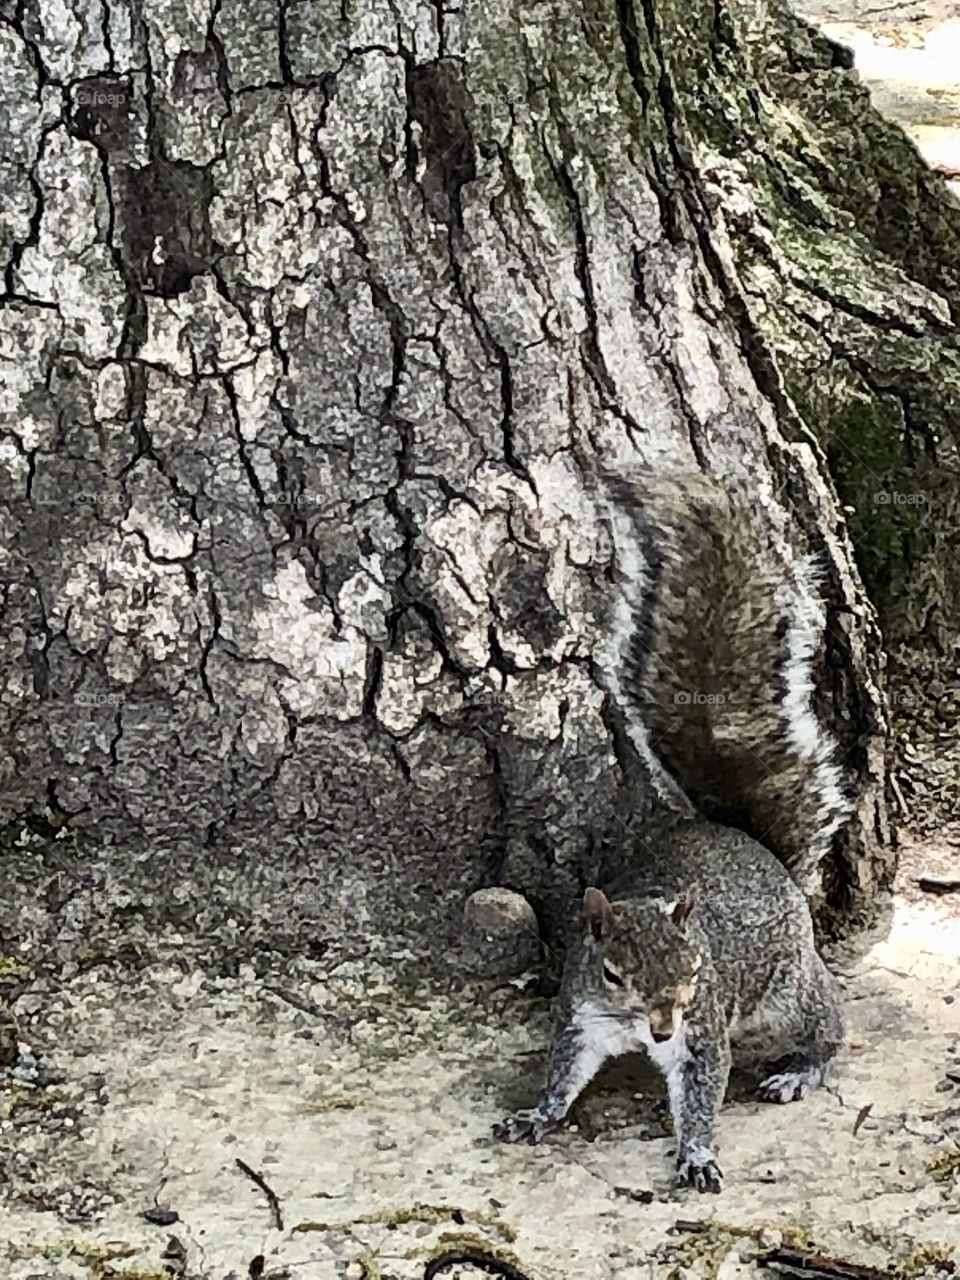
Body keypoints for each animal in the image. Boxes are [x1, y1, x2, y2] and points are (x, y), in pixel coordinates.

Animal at [493, 472, 850, 1194]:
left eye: (695, 968)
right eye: (612, 972)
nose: (661, 1029)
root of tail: (757, 847)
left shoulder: (704, 1028)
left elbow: (702, 1090)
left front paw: (697, 1153)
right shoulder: (581, 1015)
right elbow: (563, 1072)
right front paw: (538, 1115)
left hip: (788, 993)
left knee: (829, 1020)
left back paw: (804, 1067)